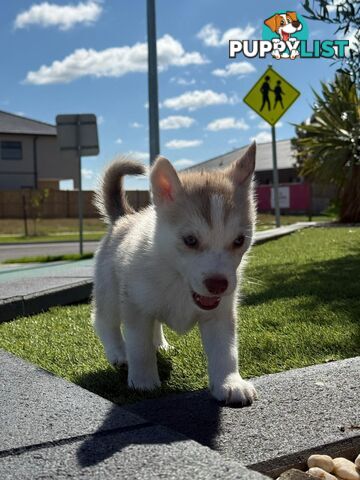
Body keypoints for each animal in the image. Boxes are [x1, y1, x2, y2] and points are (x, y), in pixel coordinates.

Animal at [91, 142, 258, 404]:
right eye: (190, 240)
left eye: (239, 240)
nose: (218, 284)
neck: (178, 280)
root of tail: (125, 217)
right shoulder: (135, 307)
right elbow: (139, 348)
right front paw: (143, 381)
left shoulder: (220, 314)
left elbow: (226, 350)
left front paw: (230, 383)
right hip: (110, 294)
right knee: (104, 321)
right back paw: (119, 353)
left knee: (155, 324)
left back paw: (160, 344)